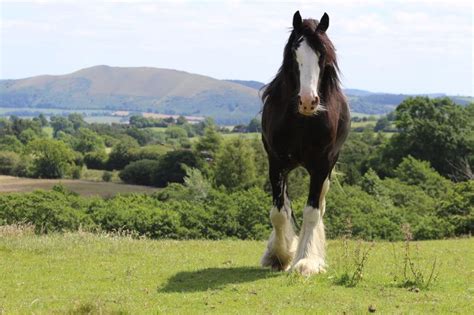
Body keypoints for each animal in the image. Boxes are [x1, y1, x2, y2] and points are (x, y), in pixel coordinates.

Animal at [262, 11, 350, 276]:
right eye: (294, 53)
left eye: (323, 55)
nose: (308, 101)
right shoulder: (276, 163)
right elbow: (279, 212)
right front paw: (279, 256)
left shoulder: (322, 166)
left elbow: (312, 212)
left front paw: (306, 261)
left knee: (319, 206)